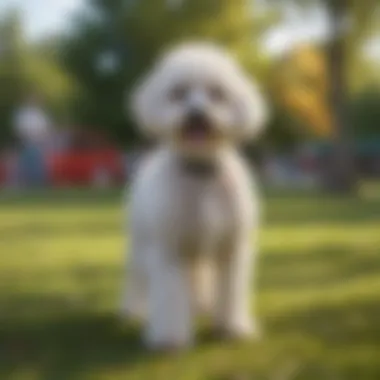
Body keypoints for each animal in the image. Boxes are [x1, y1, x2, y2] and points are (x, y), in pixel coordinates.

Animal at [121, 42, 268, 350]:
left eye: (216, 93)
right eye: (178, 93)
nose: (196, 113)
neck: (201, 170)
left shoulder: (229, 247)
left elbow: (230, 289)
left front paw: (231, 328)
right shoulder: (170, 248)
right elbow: (169, 294)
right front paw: (170, 338)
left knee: (197, 278)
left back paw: (201, 305)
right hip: (141, 242)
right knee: (138, 277)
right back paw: (133, 311)